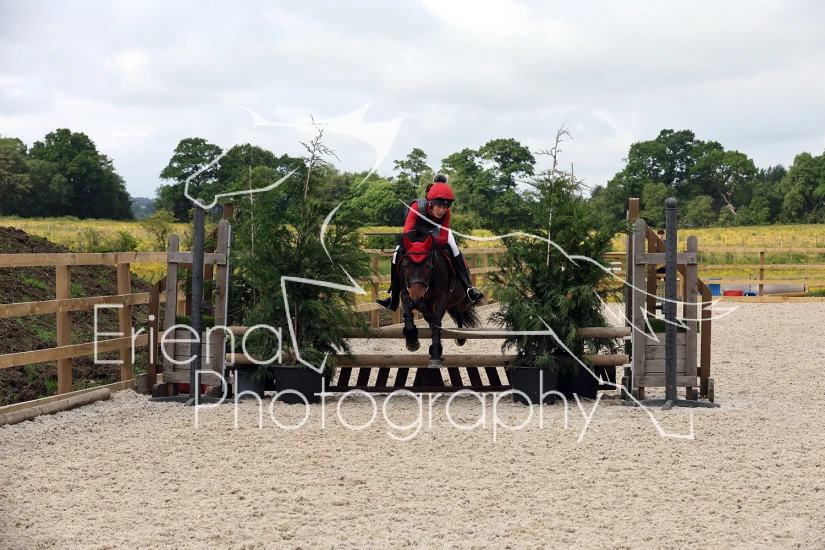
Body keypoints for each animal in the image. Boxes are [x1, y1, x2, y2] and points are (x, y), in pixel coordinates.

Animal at [395, 230, 482, 367]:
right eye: (405, 265)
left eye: (428, 265)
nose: (416, 298)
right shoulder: (405, 292)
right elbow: (408, 312)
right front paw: (412, 341)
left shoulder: (441, 299)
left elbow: (436, 324)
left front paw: (435, 355)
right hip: (427, 311)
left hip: (462, 300)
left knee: (460, 313)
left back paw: (460, 338)